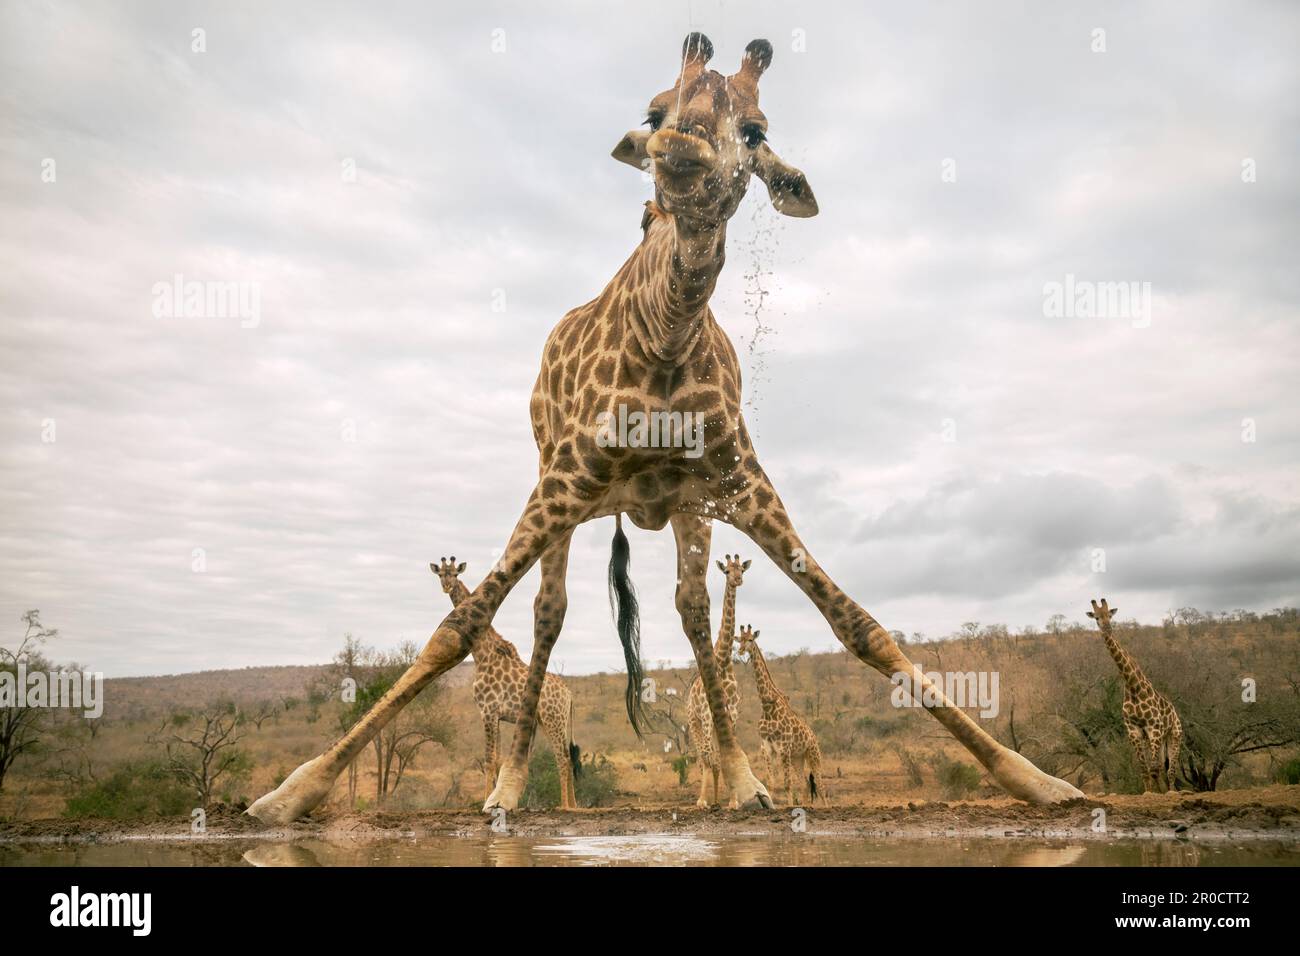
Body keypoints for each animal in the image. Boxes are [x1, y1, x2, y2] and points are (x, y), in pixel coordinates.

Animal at [431, 557, 581, 809]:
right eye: (440, 574)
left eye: (454, 573)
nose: (446, 586)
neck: (482, 654)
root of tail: (569, 695)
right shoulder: (497, 715)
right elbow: (498, 759)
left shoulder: (488, 710)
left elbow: (490, 759)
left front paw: (486, 800)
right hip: (552, 721)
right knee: (568, 757)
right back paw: (574, 805)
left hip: (553, 719)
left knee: (562, 758)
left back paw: (564, 805)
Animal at [736, 625, 825, 806]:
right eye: (739, 639)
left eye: (751, 639)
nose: (740, 651)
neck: (767, 706)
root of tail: (813, 736)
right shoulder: (766, 748)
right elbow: (770, 783)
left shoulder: (784, 748)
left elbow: (787, 783)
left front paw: (789, 806)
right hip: (798, 757)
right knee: (805, 783)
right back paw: (806, 806)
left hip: (813, 754)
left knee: (820, 786)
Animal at [1087, 598, 1183, 794]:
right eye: (1097, 618)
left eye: (1109, 615)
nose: (1107, 628)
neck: (1133, 686)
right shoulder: (1134, 730)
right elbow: (1144, 769)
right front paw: (1149, 792)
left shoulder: (1154, 727)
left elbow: (1153, 768)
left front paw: (1158, 794)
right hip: (1156, 739)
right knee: (1162, 767)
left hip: (1174, 735)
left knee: (1171, 769)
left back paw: (1172, 792)